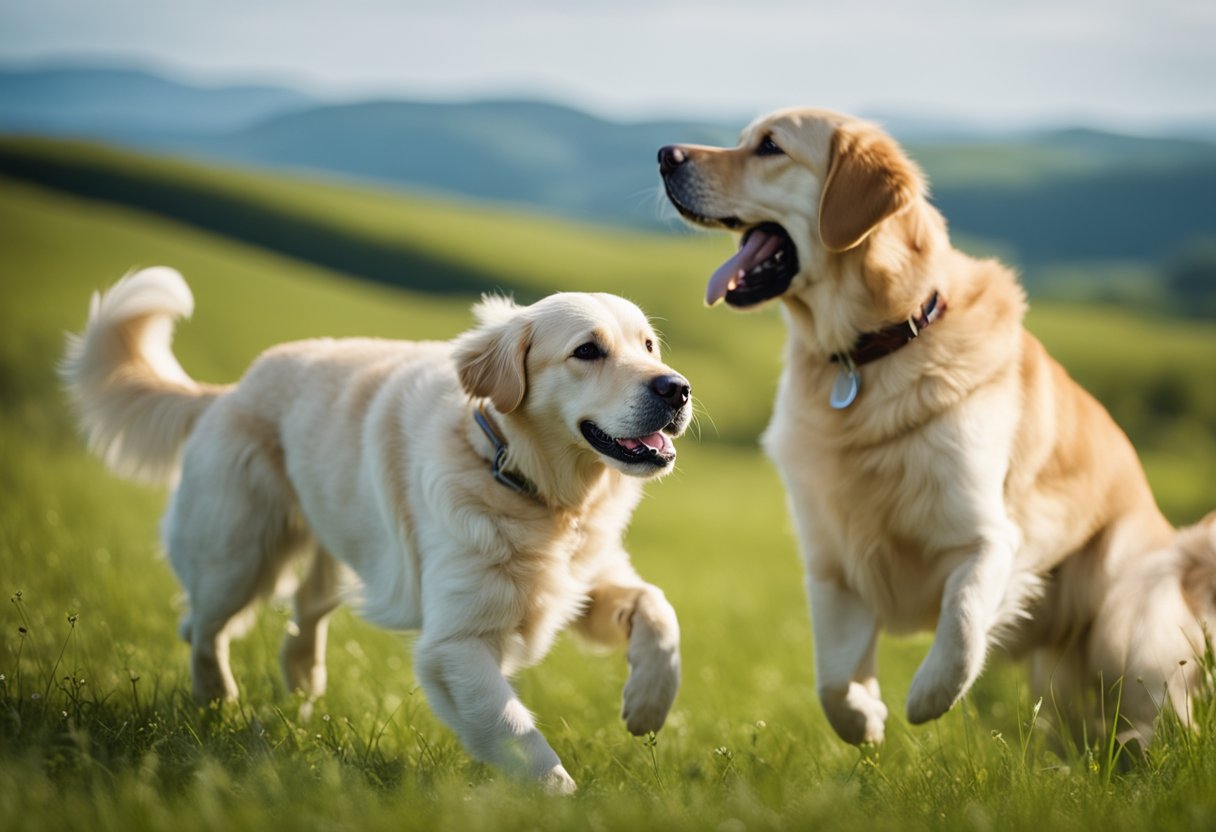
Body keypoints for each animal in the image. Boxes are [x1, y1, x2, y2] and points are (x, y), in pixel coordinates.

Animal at [61, 267, 695, 793]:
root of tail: (227, 391)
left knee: (299, 613)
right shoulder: (455, 642)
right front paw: (561, 800)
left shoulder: (585, 578)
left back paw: (300, 695)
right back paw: (218, 704)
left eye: (648, 345)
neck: (537, 489)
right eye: (587, 351)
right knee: (203, 627)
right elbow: (515, 731)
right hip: (237, 556)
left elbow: (660, 610)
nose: (676, 388)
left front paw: (647, 706)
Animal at [666, 105, 1216, 749]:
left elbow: (963, 624)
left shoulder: (990, 537)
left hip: (1122, 627)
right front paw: (865, 717)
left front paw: (927, 698)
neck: (873, 350)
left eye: (770, 147)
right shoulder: (830, 561)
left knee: (1167, 719)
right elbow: (831, 680)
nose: (665, 155)